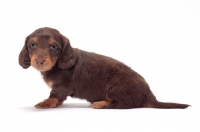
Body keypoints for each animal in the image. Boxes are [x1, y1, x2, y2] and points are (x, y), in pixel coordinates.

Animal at [18, 27, 189, 109]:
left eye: (53, 47)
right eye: (32, 45)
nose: (39, 61)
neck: (56, 66)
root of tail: (149, 95)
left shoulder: (62, 87)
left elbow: (54, 95)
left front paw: (45, 103)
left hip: (116, 86)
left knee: (123, 104)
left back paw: (100, 104)